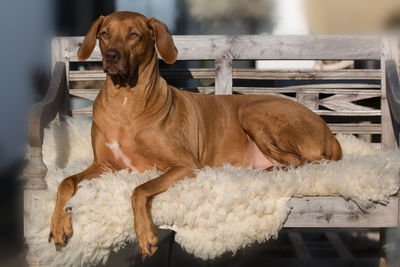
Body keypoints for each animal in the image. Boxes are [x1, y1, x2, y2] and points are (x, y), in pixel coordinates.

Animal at [48, 12, 342, 260]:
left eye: (134, 35)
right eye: (104, 33)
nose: (110, 56)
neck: (125, 100)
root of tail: (330, 132)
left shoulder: (186, 165)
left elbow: (139, 190)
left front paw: (146, 235)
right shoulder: (105, 165)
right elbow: (65, 182)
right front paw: (58, 225)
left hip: (252, 111)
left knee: (297, 162)